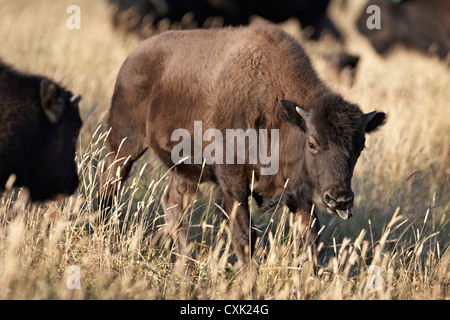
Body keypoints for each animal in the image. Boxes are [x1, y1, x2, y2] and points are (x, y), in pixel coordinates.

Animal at [99, 23, 386, 266]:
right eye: (313, 144)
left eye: (360, 146)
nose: (340, 199)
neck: (280, 113)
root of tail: (133, 57)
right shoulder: (233, 184)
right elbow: (244, 239)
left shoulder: (299, 192)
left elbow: (311, 240)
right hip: (125, 143)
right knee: (111, 178)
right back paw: (102, 230)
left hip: (184, 169)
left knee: (173, 203)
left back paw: (181, 261)